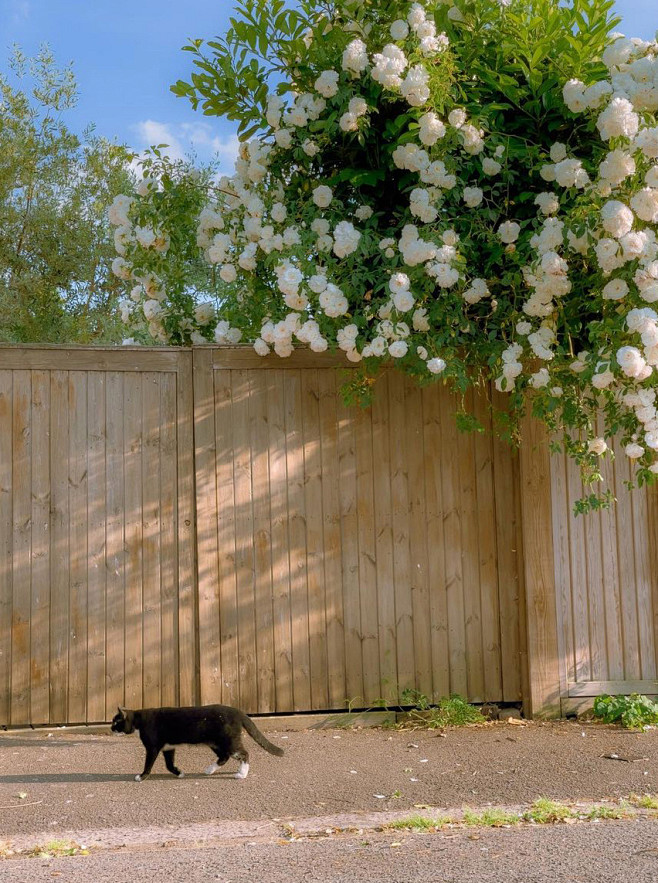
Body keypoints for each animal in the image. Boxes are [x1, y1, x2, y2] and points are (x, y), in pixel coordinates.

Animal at [111, 704, 284, 780]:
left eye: (116, 722)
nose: (111, 728)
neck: (139, 721)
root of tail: (239, 711)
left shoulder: (152, 747)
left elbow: (148, 764)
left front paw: (142, 776)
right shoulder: (168, 748)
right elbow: (169, 764)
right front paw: (179, 773)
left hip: (228, 741)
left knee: (244, 753)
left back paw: (242, 774)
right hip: (215, 742)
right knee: (224, 756)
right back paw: (209, 770)